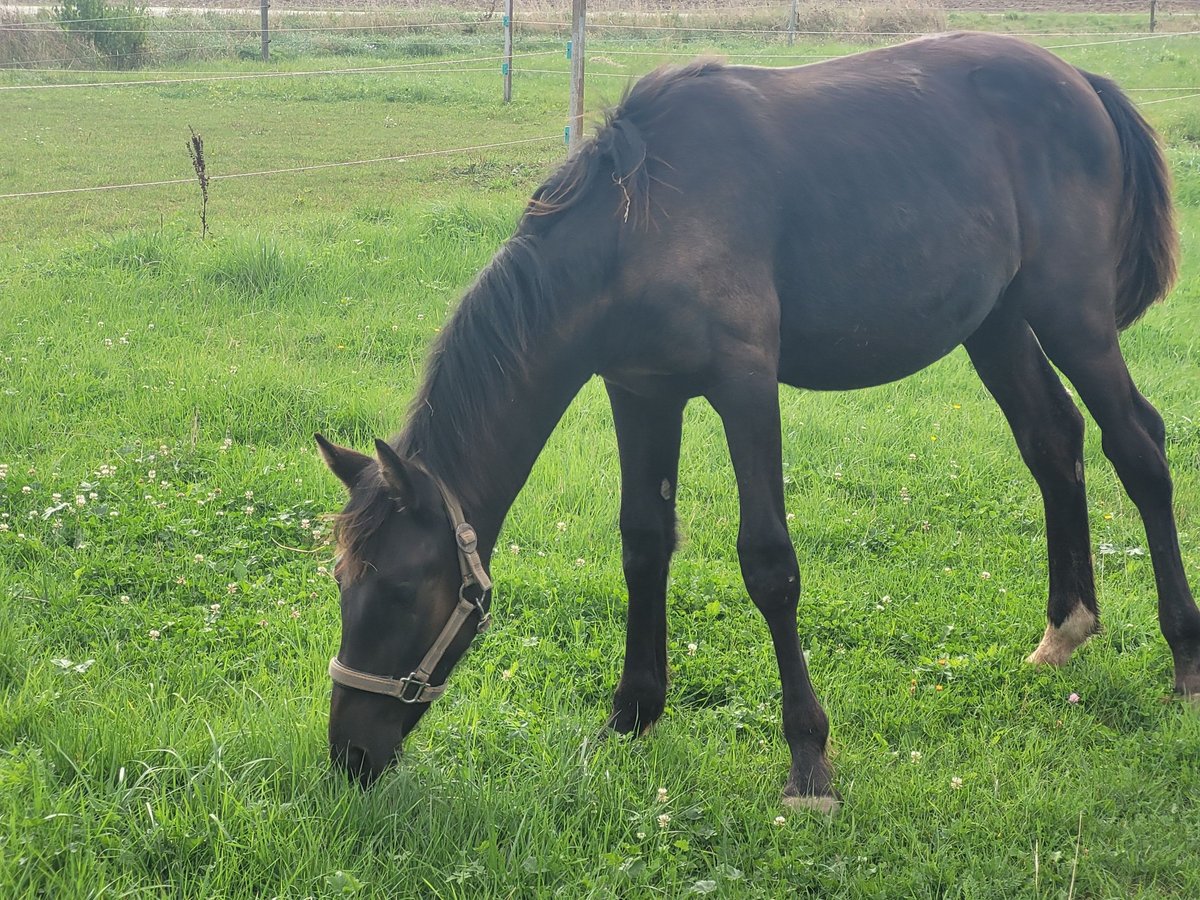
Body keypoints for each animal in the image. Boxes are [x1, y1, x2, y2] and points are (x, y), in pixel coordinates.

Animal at [314, 33, 1195, 811]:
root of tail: (1083, 81)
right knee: (1053, 442)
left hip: (1073, 315)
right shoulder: (640, 392)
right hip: (999, 322)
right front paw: (631, 715)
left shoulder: (745, 387)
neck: (640, 223)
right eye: (341, 583)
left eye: (401, 589)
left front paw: (809, 762)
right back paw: (1066, 629)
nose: (349, 755)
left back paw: (1184, 655)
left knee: (1138, 446)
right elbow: (643, 542)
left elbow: (769, 564)